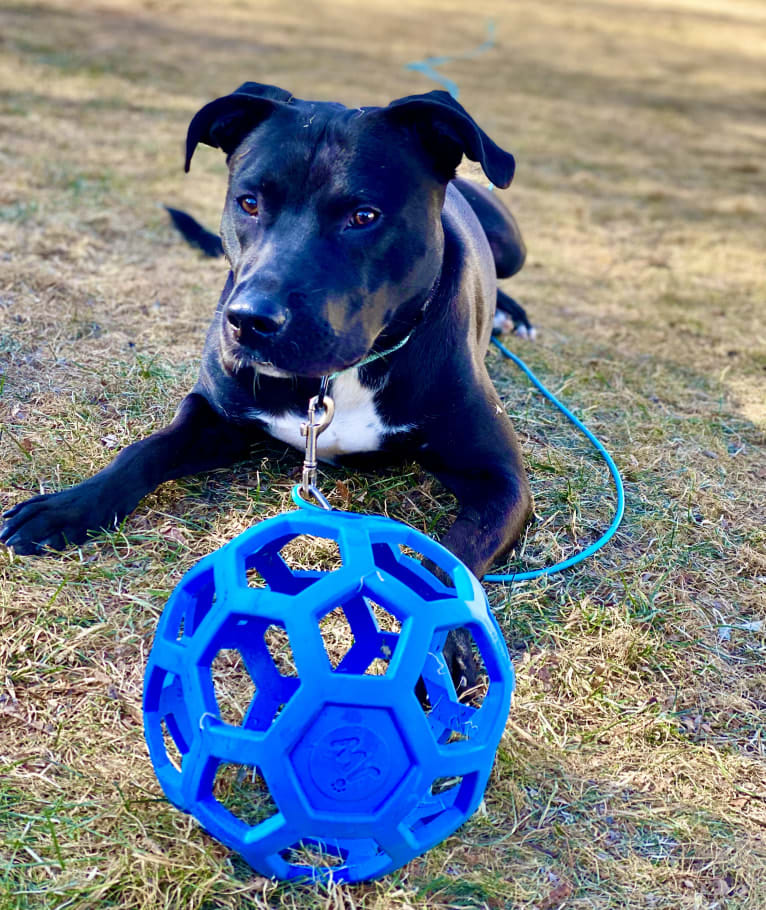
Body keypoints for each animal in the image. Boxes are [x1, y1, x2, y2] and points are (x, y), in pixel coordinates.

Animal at [1, 83, 536, 600]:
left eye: (364, 216)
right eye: (249, 203)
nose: (249, 320)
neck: (335, 380)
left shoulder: (502, 483)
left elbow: (450, 565)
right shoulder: (214, 414)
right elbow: (145, 449)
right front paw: (69, 507)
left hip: (512, 243)